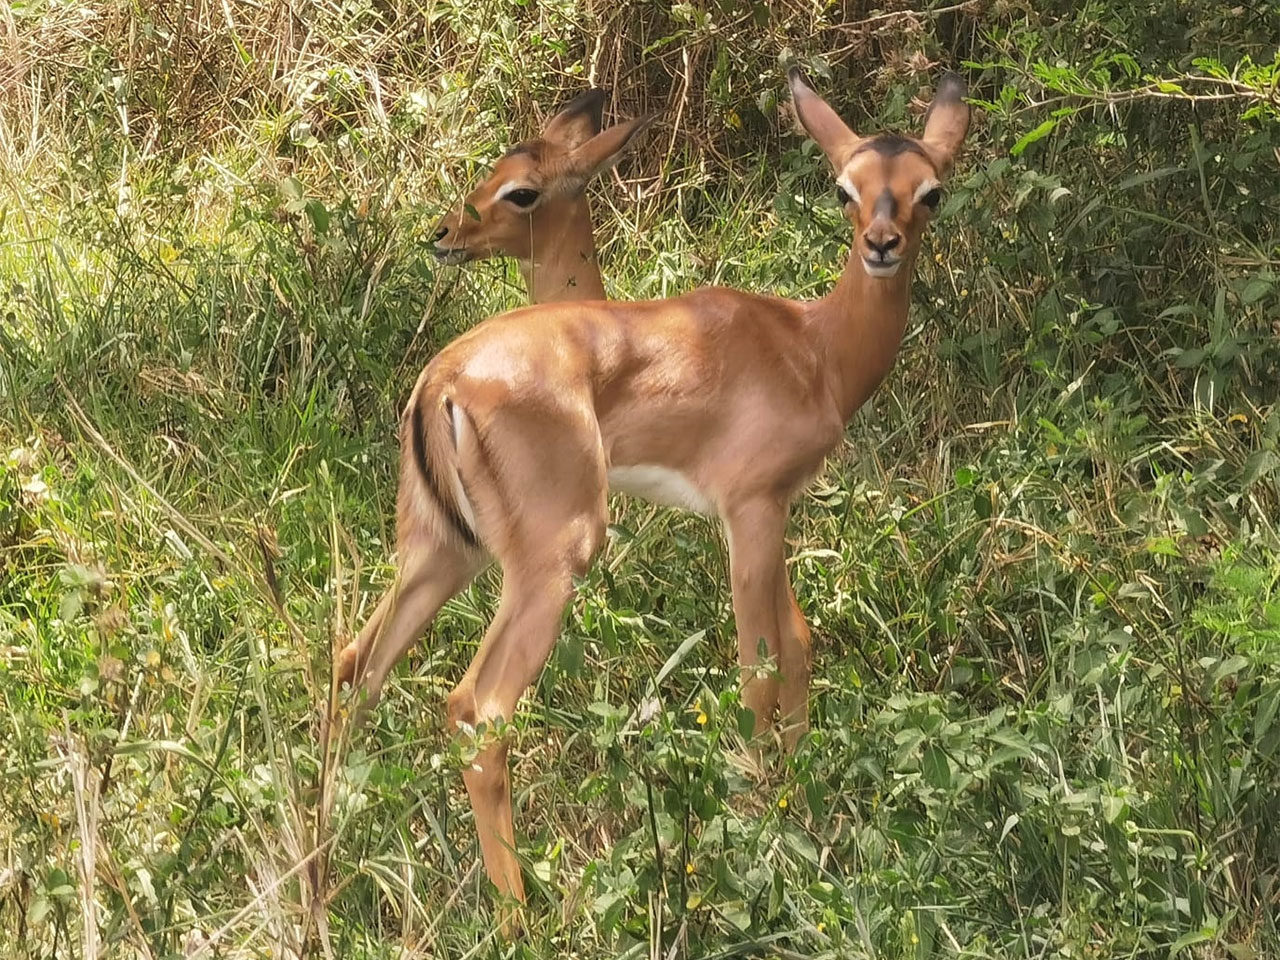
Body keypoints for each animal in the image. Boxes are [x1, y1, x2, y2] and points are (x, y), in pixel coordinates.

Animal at [340, 65, 967, 916]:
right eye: (846, 187)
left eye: (929, 191)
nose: (881, 245)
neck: (814, 348)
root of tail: (442, 381)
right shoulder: (751, 509)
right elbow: (760, 671)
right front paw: (764, 821)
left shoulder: (775, 511)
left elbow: (799, 645)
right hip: (553, 560)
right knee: (478, 709)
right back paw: (521, 917)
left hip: (444, 551)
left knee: (356, 663)